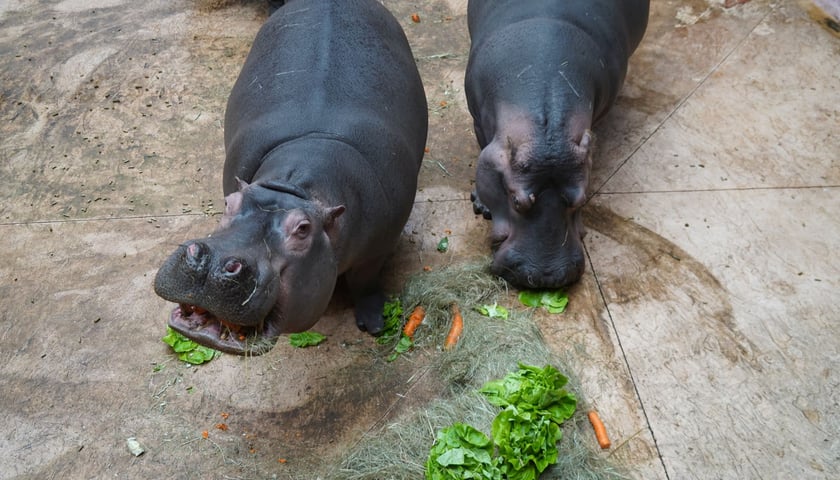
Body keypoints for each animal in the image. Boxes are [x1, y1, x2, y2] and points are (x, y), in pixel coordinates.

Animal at [153, 0, 426, 354]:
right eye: (229, 202)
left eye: (303, 229)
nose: (210, 265)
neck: (295, 188)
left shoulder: (379, 247)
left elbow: (364, 281)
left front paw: (374, 324)